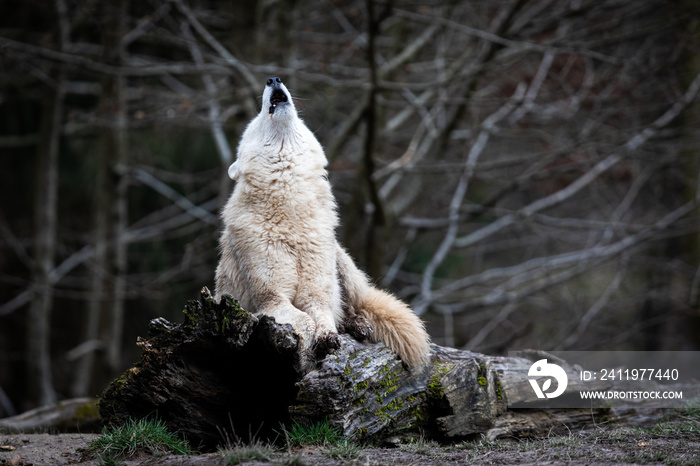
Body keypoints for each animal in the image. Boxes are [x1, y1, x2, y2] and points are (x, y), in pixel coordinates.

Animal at [216, 76, 430, 368]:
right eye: (257, 118)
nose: (273, 79)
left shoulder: (315, 293)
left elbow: (322, 314)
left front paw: (327, 337)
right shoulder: (271, 301)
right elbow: (305, 321)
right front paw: (307, 352)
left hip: (340, 262)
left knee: (355, 307)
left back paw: (358, 324)